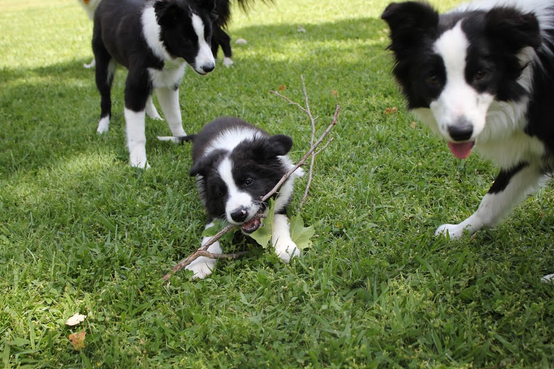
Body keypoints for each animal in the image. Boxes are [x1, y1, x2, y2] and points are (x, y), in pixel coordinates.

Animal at [91, 0, 215, 168]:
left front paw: (182, 138)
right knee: (105, 97)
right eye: (187, 40)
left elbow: (175, 117)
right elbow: (137, 133)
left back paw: (154, 116)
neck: (159, 43)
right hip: (103, 62)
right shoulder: (135, 86)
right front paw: (139, 163)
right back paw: (103, 127)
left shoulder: (169, 83)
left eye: (208, 36)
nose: (209, 67)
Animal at [182, 116, 302, 278]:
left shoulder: (280, 199)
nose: (238, 215)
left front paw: (285, 248)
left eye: (248, 181)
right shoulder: (213, 209)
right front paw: (200, 262)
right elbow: (211, 234)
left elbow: (278, 220)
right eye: (220, 193)